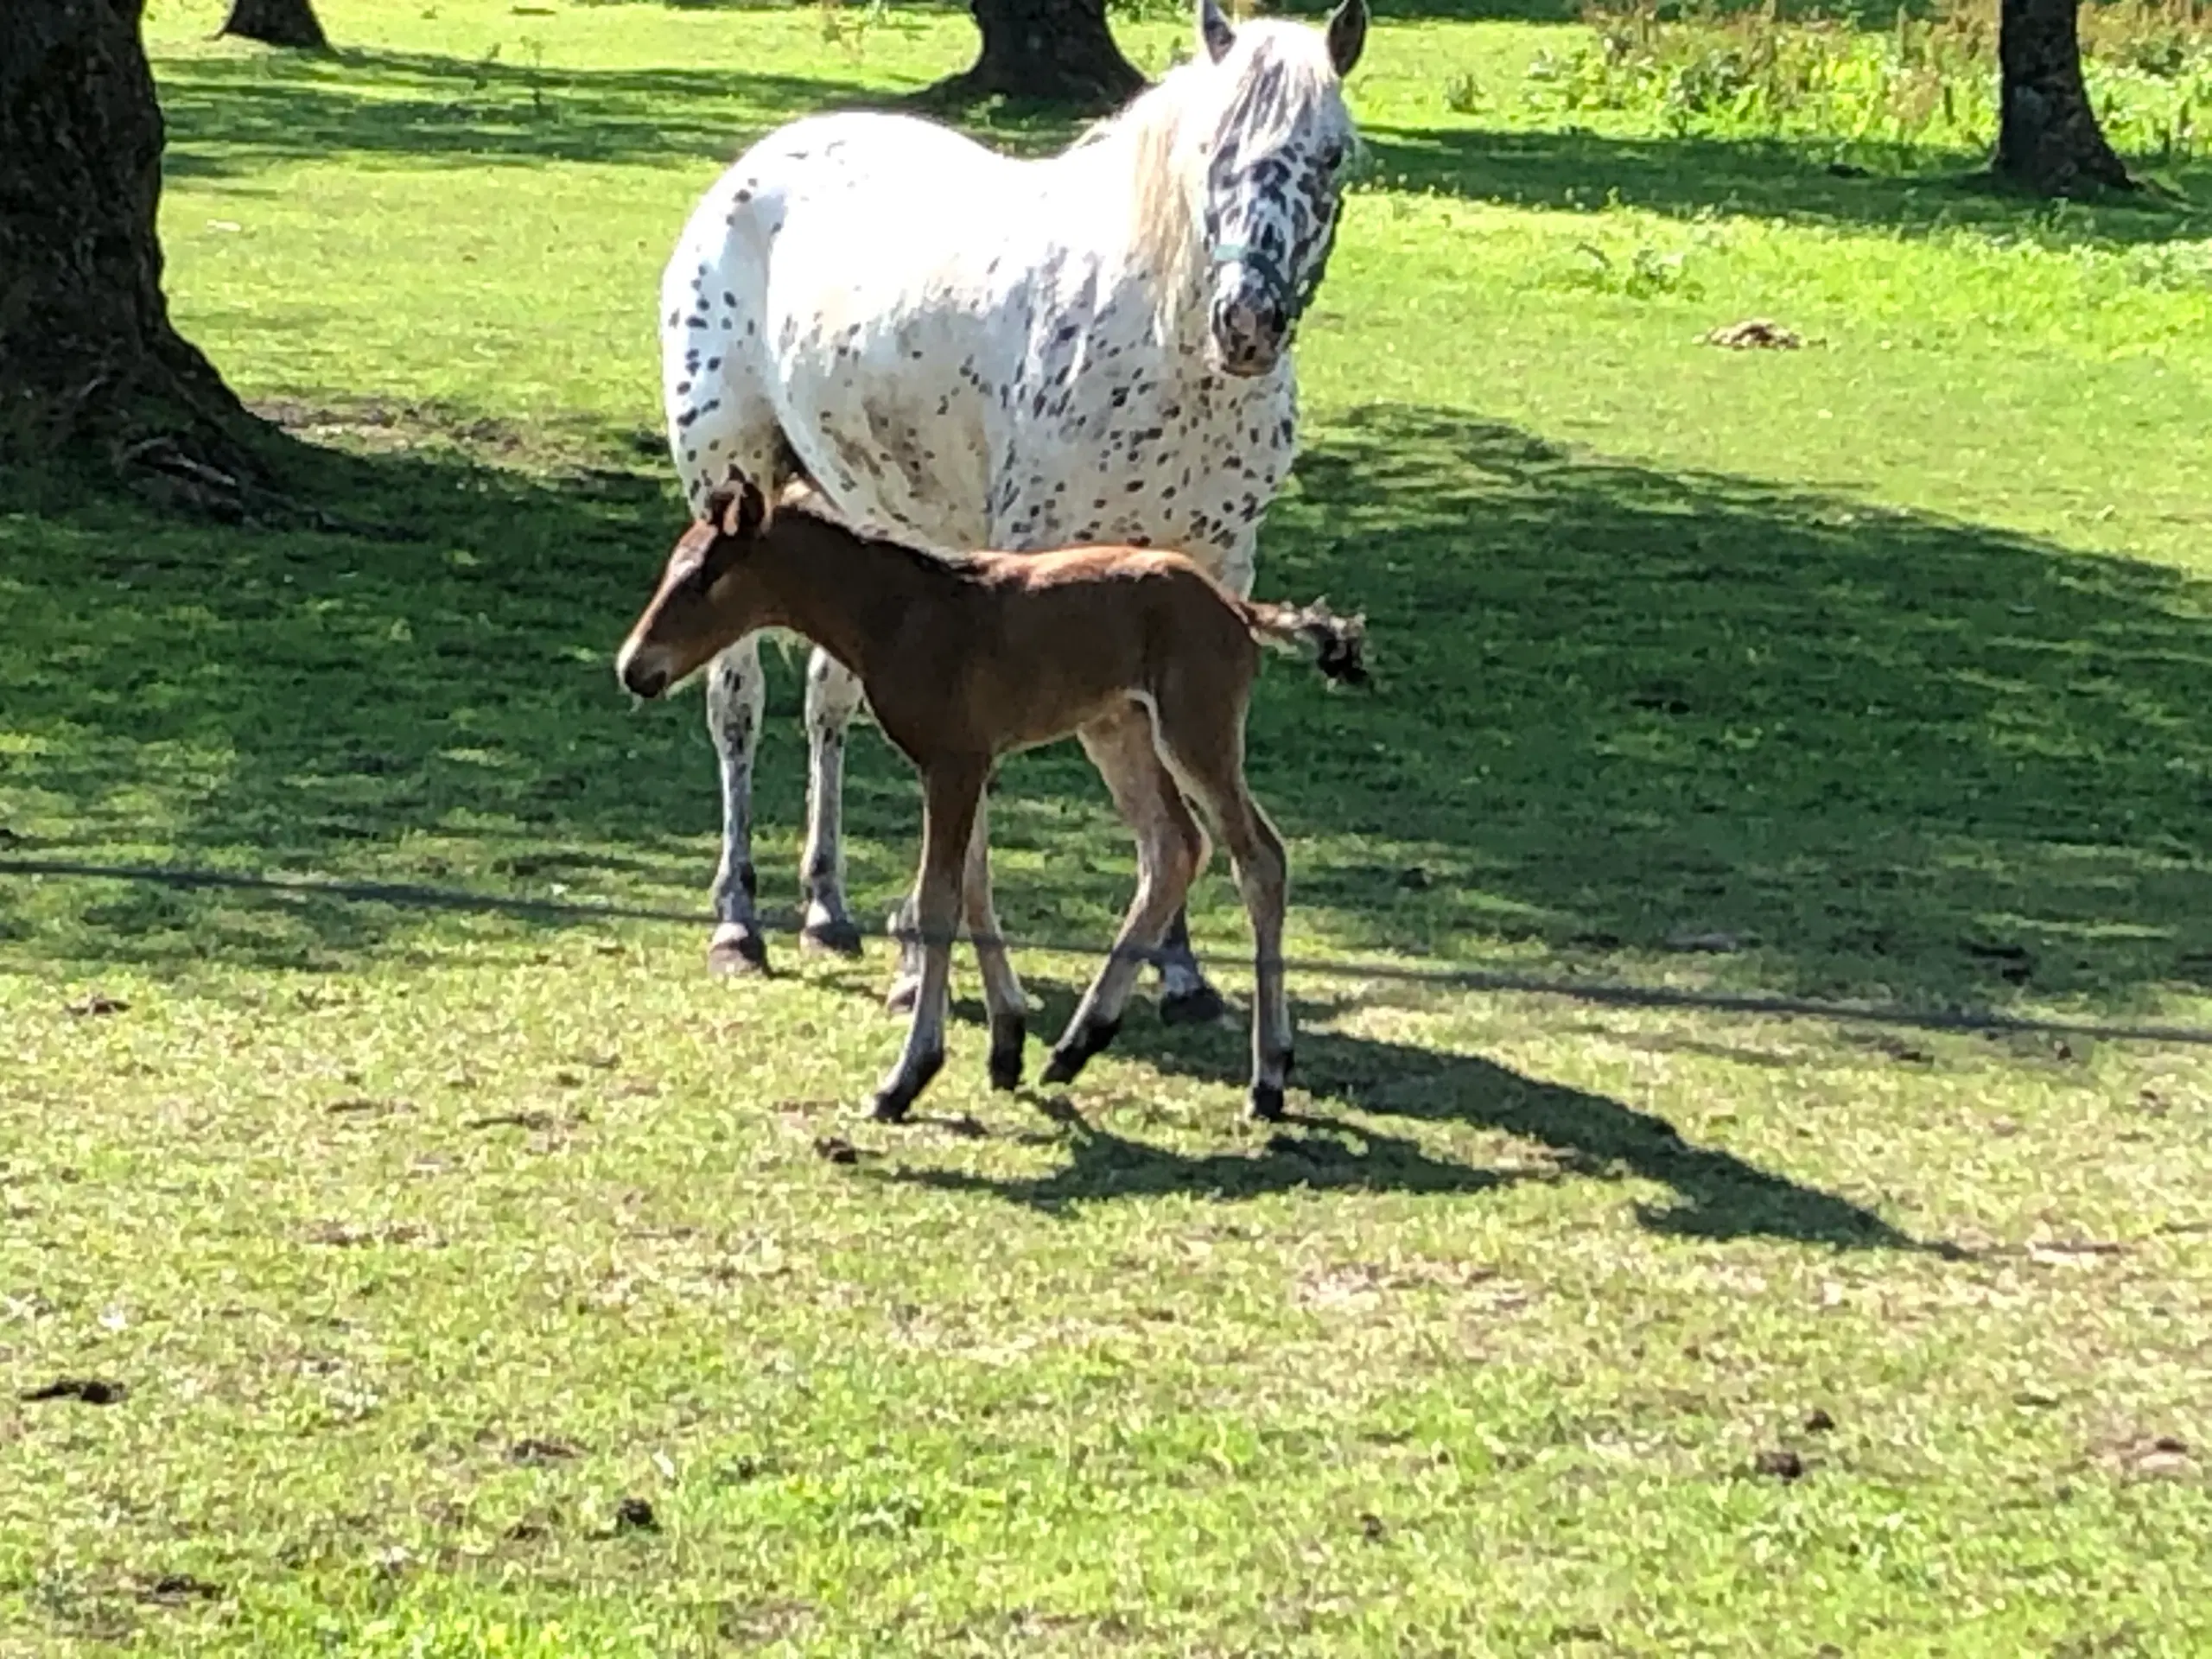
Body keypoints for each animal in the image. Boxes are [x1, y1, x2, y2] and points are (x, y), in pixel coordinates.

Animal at [614, 480, 1353, 1132]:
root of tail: (1236, 607)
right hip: (1117, 728)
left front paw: (905, 1080)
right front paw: (1007, 1045)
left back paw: (1267, 1079)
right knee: (1174, 848)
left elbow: (939, 902)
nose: (633, 667)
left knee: (1258, 858)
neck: (896, 614)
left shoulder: (954, 763)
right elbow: (974, 887)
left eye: (702, 578)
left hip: (1195, 729)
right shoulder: (963, 765)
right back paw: (1077, 1045)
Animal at [654, 0, 1353, 1026]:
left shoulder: (1208, 577)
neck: (1161, 348)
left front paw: (1180, 970)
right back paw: (739, 924)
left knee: (827, 705)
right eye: (1212, 147)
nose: (1247, 322)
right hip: (725, 480)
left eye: (1333, 154)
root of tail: (756, 169)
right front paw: (925, 967)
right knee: (736, 706)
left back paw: (826, 908)